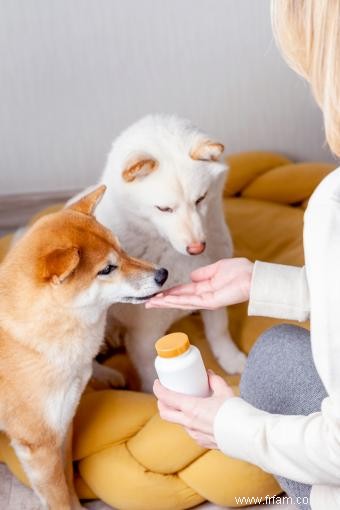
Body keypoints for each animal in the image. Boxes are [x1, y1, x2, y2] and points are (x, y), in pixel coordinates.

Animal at [0, 185, 168, 508]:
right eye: (107, 269)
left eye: (122, 248)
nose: (162, 274)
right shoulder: (41, 446)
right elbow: (59, 498)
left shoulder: (64, 427)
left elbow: (68, 483)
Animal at [73, 113, 246, 388]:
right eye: (164, 209)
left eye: (201, 199)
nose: (197, 248)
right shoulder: (144, 335)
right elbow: (149, 373)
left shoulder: (212, 294)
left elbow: (218, 330)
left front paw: (230, 359)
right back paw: (108, 376)